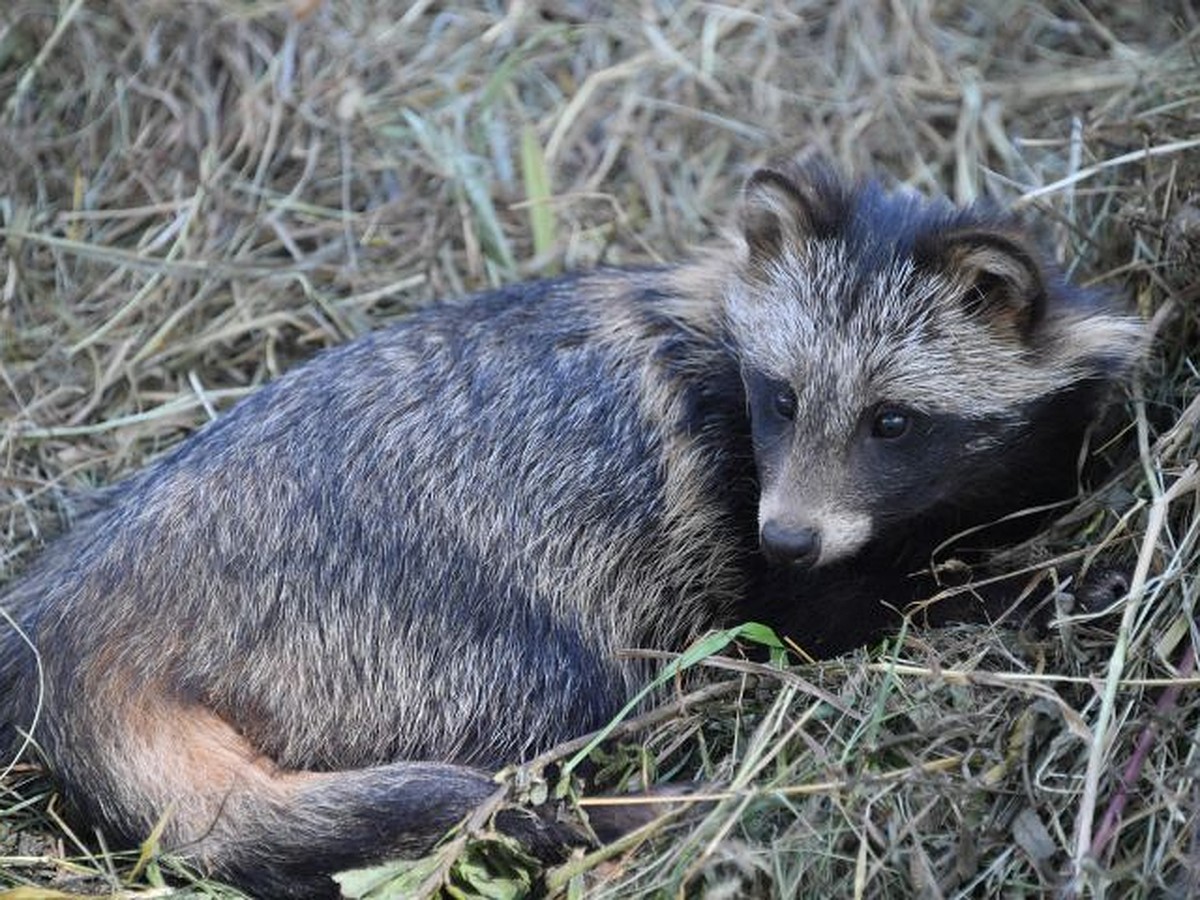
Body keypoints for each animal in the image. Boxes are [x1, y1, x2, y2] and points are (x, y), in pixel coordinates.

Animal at [0, 165, 1142, 897]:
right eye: (778, 399)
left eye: (891, 421)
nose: (790, 538)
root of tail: (78, 625)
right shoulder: (739, 509)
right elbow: (830, 616)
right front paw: (1021, 587)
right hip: (405, 625)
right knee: (559, 702)